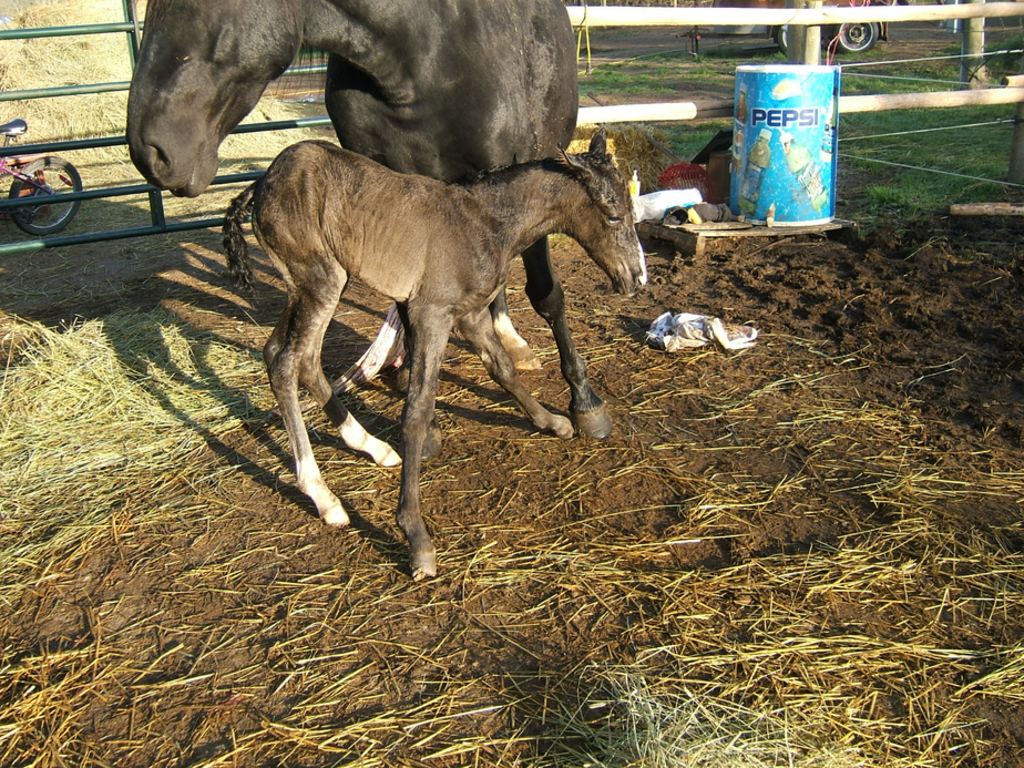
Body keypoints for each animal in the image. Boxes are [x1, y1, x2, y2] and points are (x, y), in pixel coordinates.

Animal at [222, 130, 647, 579]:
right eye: (613, 215)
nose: (636, 278)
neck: (486, 222)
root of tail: (261, 184)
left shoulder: (470, 315)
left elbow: (503, 368)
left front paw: (552, 421)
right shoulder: (432, 315)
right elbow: (417, 410)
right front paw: (416, 536)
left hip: (304, 287)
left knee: (286, 355)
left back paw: (371, 446)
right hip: (321, 279)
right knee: (288, 363)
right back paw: (324, 496)